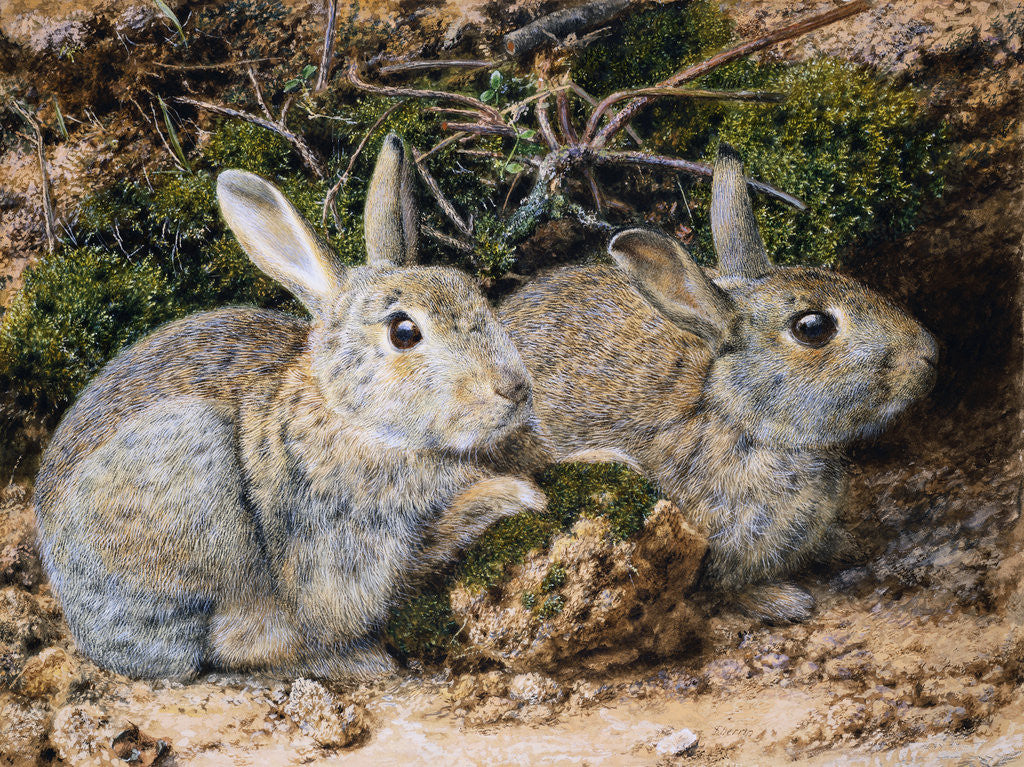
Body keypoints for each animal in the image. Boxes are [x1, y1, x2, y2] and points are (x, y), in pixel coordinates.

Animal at [33, 134, 547, 681]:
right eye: (404, 332)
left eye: (471, 290)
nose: (515, 389)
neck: (351, 417)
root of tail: (77, 616)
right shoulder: (346, 548)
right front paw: (516, 496)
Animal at [500, 143, 938, 622]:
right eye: (813, 327)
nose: (929, 355)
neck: (736, 416)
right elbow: (728, 591)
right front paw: (785, 601)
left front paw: (844, 544)